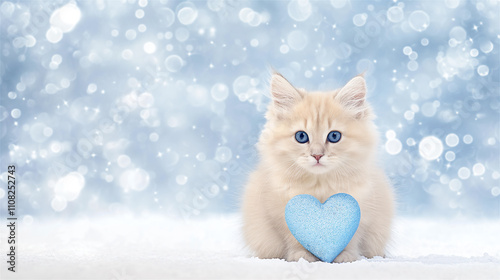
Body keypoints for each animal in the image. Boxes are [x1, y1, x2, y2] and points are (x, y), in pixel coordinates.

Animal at [242, 72, 394, 262]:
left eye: (334, 136)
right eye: (301, 136)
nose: (317, 155)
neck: (320, 184)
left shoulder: (362, 210)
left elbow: (351, 240)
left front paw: (345, 257)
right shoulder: (281, 214)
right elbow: (295, 240)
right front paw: (302, 256)